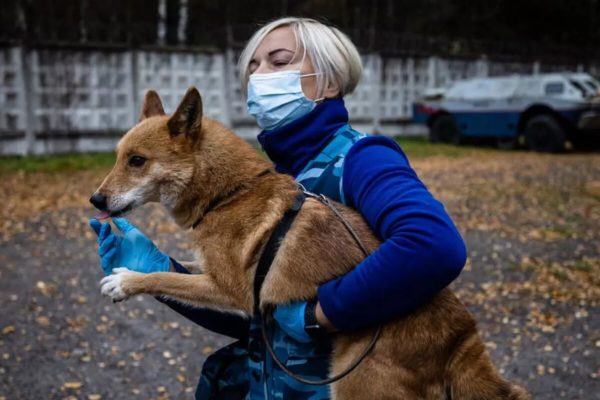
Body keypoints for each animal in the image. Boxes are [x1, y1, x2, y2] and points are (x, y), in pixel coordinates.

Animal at [90, 88, 528, 400]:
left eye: (137, 161)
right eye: (117, 156)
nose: (95, 200)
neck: (230, 193)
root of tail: (462, 337)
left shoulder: (232, 291)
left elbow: (166, 279)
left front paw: (126, 281)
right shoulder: (215, 275)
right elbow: (173, 266)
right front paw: (139, 259)